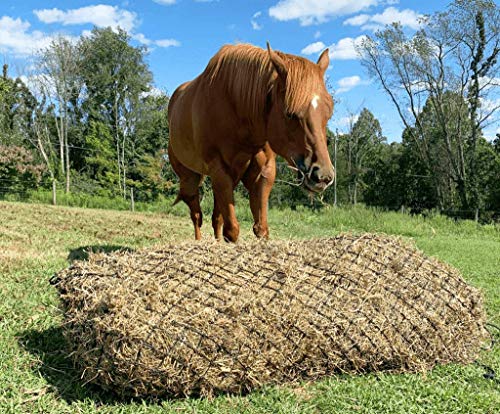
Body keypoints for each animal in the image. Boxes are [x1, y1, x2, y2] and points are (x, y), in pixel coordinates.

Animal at [168, 41, 336, 243]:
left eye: (329, 113)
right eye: (290, 114)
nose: (323, 175)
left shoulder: (262, 172)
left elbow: (260, 228)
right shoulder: (219, 170)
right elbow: (232, 231)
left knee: (216, 218)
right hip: (190, 178)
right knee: (196, 215)